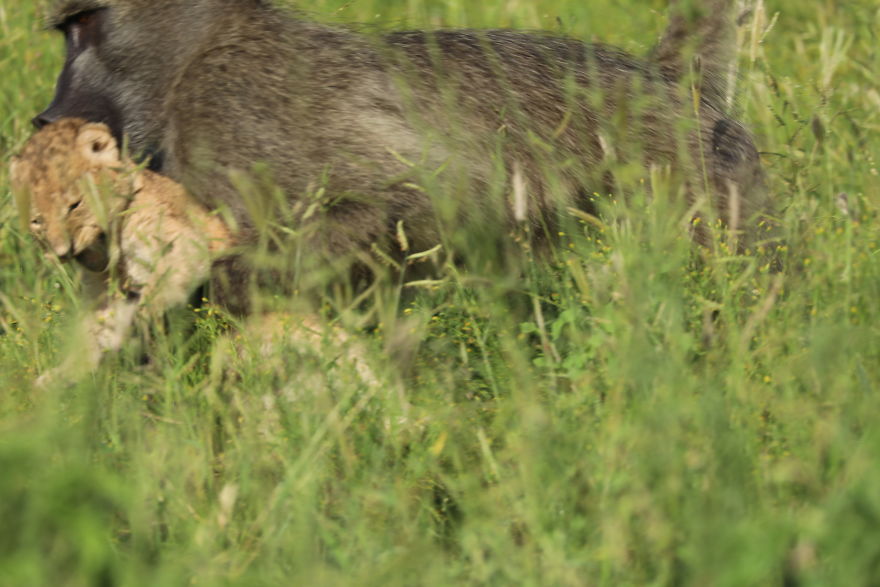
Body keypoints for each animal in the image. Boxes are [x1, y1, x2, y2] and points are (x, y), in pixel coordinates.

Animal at [9, 118, 232, 385]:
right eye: (37, 221)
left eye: (74, 206)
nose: (63, 253)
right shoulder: (104, 289)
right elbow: (95, 332)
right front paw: (61, 378)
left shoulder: (185, 243)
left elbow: (161, 288)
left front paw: (144, 321)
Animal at [34, 0, 774, 315]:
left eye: (84, 24)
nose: (47, 114)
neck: (199, 47)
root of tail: (669, 87)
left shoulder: (230, 106)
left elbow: (438, 194)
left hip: (701, 181)